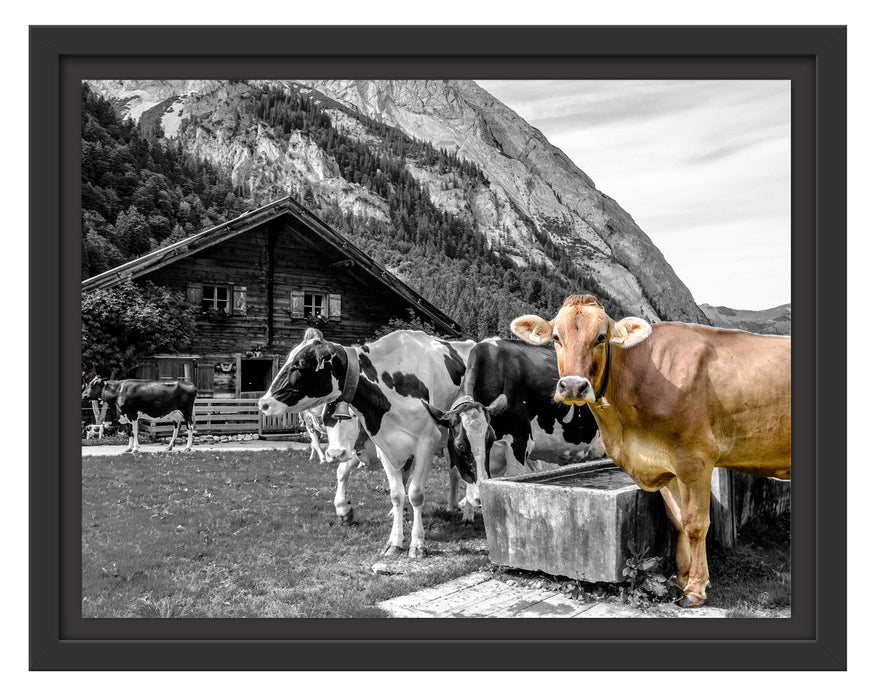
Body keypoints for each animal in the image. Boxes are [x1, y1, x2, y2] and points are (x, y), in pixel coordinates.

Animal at [258, 329, 476, 558]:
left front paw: (417, 544)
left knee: (465, 474)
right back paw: (452, 505)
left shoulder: (426, 441)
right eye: (328, 419)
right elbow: (396, 493)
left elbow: (416, 493)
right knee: (453, 474)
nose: (263, 403)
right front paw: (393, 540)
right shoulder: (384, 446)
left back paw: (467, 512)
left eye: (299, 364)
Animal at [510, 294, 791, 607]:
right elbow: (678, 521)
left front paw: (695, 589)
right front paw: (682, 579)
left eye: (601, 337)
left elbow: (695, 524)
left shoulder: (695, 459)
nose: (573, 386)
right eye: (557, 337)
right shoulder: (665, 465)